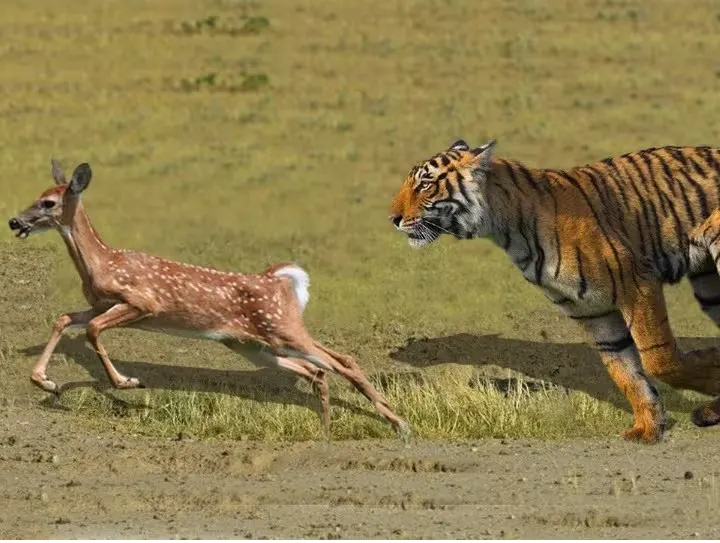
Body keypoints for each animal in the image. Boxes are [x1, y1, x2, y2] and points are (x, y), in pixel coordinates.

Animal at [8, 159, 411, 441]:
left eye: (48, 202)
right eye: (37, 196)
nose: (14, 221)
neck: (102, 263)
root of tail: (280, 280)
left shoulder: (142, 303)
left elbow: (92, 330)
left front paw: (127, 383)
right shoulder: (100, 304)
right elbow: (64, 318)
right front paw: (45, 382)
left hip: (281, 328)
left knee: (341, 361)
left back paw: (399, 423)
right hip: (251, 344)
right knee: (319, 369)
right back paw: (326, 429)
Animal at [389, 138, 720, 443]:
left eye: (425, 185)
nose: (392, 218)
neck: (509, 232)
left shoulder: (636, 283)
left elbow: (659, 359)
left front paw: (710, 365)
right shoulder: (593, 312)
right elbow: (626, 373)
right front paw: (647, 429)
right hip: (709, 288)